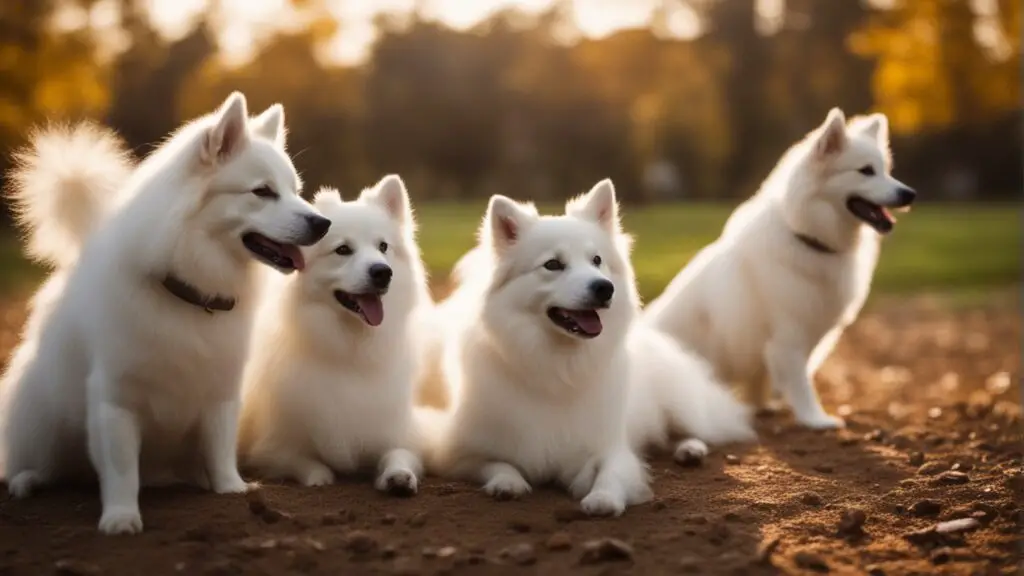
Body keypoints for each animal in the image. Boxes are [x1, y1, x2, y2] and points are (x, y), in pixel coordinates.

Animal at [0, 91, 327, 532]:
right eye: (262, 191)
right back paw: (27, 480)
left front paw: (230, 489)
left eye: (296, 190)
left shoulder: (221, 391)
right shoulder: (116, 400)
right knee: (34, 463)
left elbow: (219, 447)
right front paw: (121, 517)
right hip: (41, 421)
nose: (323, 223)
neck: (190, 293)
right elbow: (122, 469)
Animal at [237, 172, 430, 491]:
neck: (349, 349)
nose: (382, 272)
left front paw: (399, 477)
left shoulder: (400, 434)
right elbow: (305, 463)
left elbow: (398, 454)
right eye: (343, 250)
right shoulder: (269, 449)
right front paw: (320, 477)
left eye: (383, 247)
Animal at [643, 109, 917, 428]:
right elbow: (801, 384)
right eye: (866, 171)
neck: (807, 238)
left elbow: (767, 382)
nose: (910, 193)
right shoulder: (788, 338)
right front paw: (816, 420)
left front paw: (763, 407)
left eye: (886, 170)